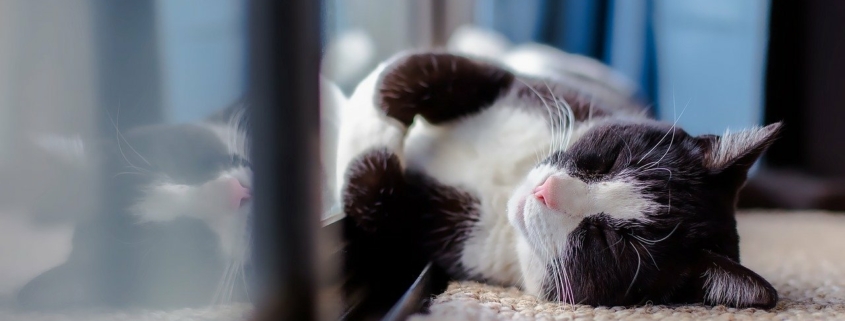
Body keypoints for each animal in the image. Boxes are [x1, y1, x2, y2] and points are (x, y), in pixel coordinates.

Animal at [334, 50, 780, 308]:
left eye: (610, 240)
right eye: (611, 161)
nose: (545, 191)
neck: (509, 181)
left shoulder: (443, 242)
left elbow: (373, 197)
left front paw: (358, 126)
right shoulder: (531, 88)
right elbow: (413, 70)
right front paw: (363, 98)